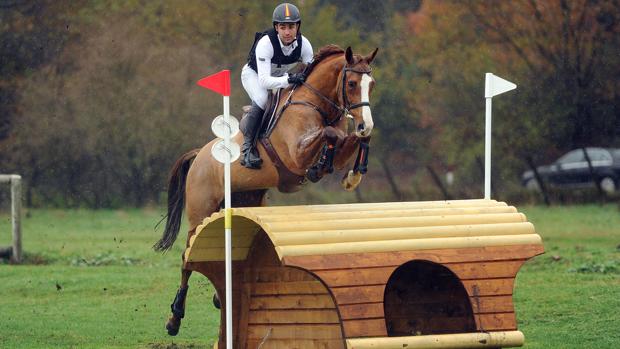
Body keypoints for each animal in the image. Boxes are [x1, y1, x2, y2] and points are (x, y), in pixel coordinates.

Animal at [155, 44, 378, 334]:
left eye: (371, 84)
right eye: (351, 83)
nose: (365, 123)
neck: (316, 104)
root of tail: (199, 154)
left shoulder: (343, 145)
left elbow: (351, 139)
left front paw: (353, 175)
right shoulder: (296, 155)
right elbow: (330, 134)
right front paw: (320, 167)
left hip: (244, 203)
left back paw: (217, 298)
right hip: (200, 212)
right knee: (187, 257)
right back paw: (174, 318)